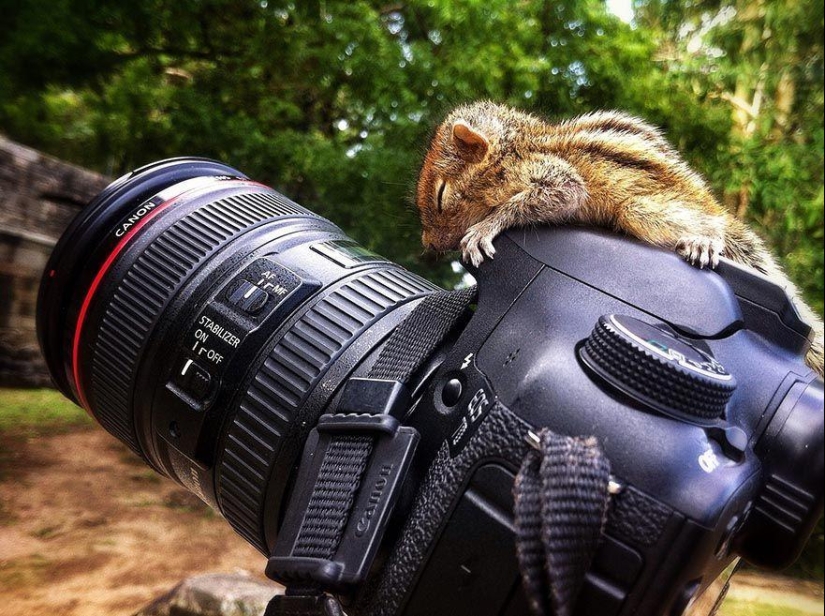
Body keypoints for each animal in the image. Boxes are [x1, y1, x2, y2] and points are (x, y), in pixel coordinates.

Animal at [416, 101, 824, 378]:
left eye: (440, 195)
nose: (429, 246)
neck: (517, 148)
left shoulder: (552, 176)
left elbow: (557, 194)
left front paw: (485, 228)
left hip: (640, 209)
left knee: (712, 225)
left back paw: (704, 239)